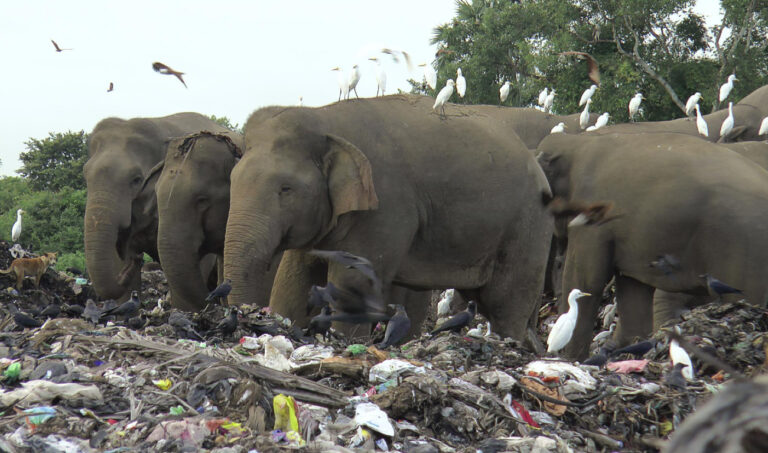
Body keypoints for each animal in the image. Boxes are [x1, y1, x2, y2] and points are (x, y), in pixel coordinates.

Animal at [223, 94, 554, 342]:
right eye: (232, 179)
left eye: (286, 189)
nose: (245, 317)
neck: (325, 118)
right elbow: (295, 279)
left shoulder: (384, 207)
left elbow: (354, 282)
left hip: (529, 226)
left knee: (505, 304)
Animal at [537, 132, 768, 359]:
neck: (576, 141)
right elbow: (632, 289)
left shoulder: (593, 219)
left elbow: (586, 279)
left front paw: (571, 359)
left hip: (743, 249)